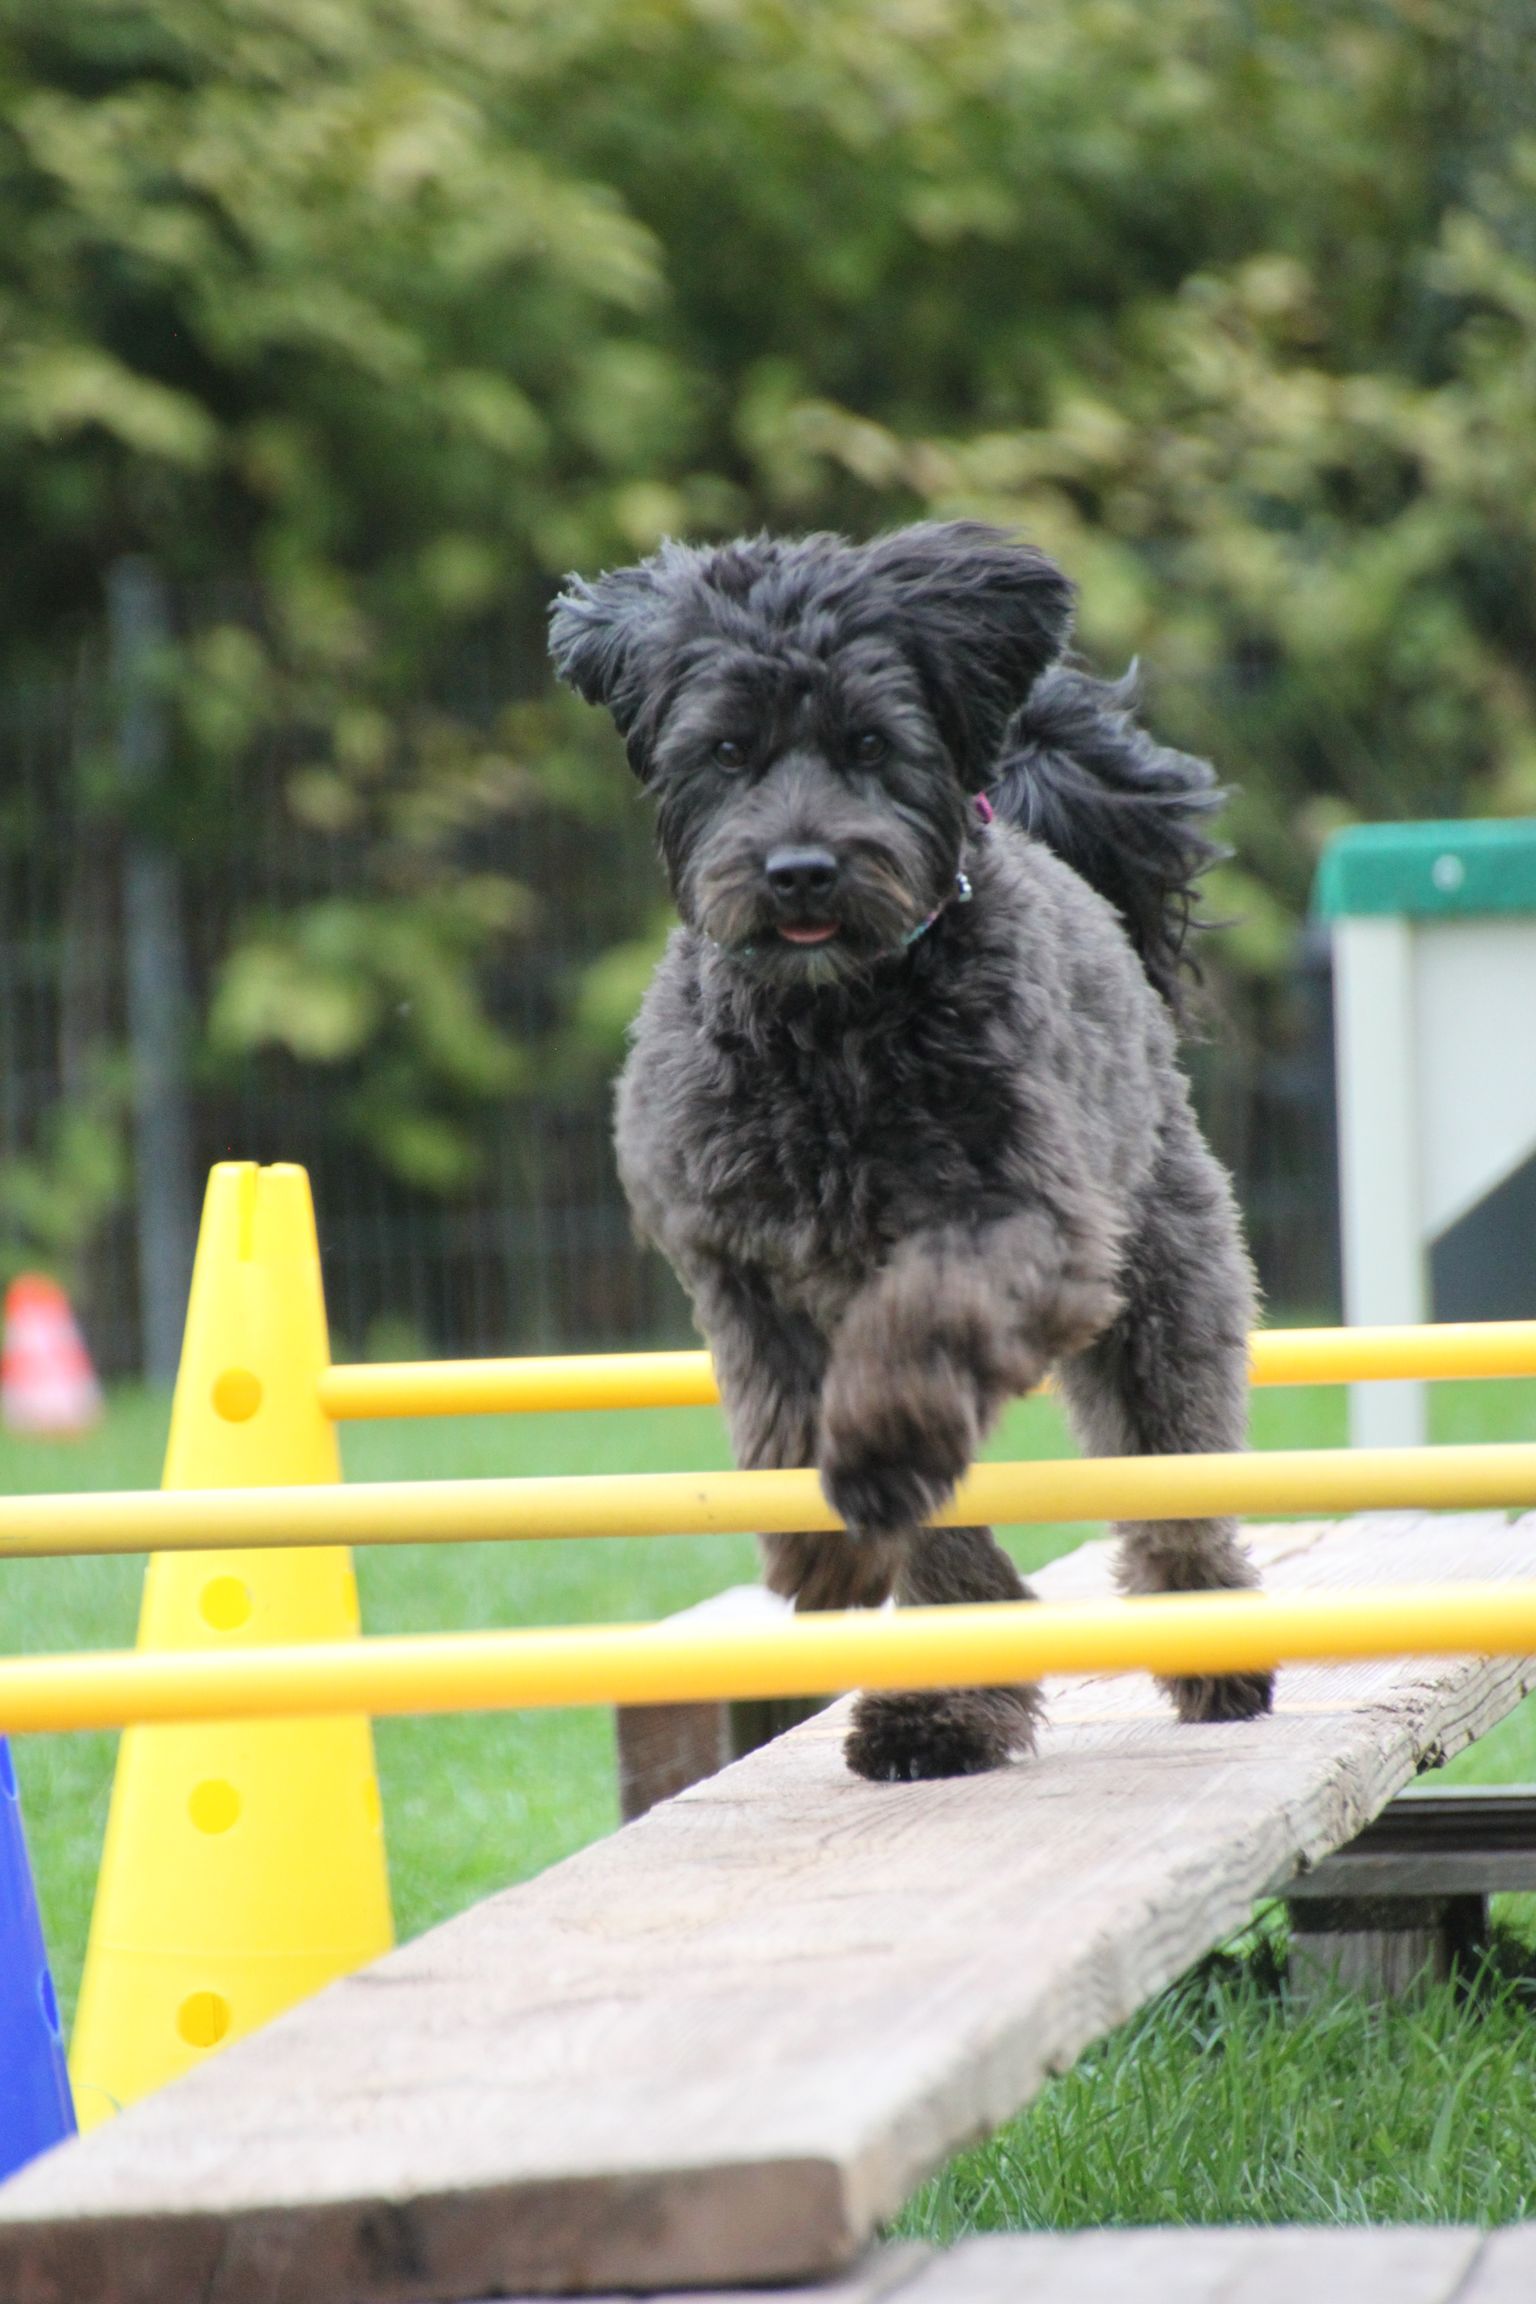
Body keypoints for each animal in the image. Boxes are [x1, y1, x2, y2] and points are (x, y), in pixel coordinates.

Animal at [549, 520, 1272, 1782]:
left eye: (870, 744)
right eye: (726, 751)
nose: (799, 870)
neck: (833, 1028)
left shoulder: (1022, 1224)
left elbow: (918, 1338)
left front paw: (872, 1472)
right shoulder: (738, 1259)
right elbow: (789, 1415)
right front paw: (826, 1545)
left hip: (1165, 1282)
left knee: (1172, 1469)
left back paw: (1204, 1645)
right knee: (955, 1540)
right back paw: (943, 1707)